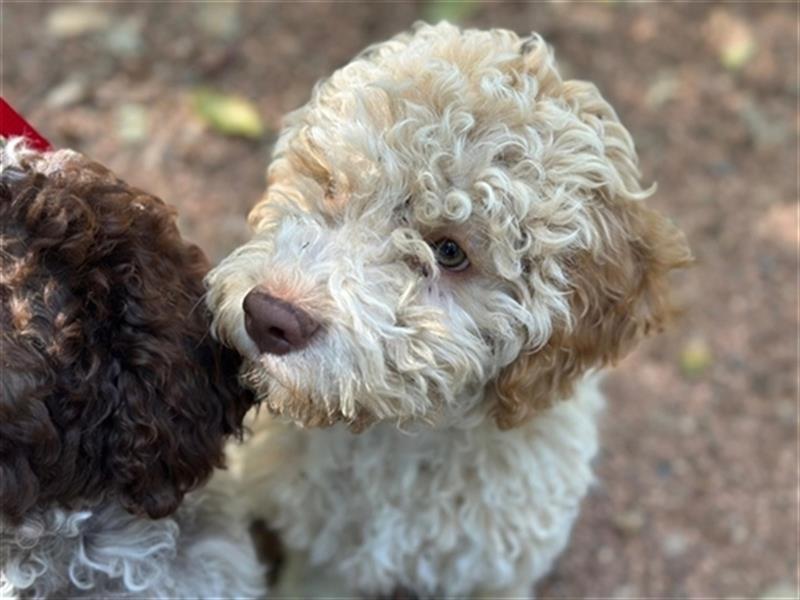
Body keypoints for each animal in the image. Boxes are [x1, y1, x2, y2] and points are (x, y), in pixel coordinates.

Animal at [208, 22, 692, 596]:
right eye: (330, 186)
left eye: (449, 252)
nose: (268, 316)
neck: (407, 439)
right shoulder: (325, 562)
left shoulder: (495, 570)